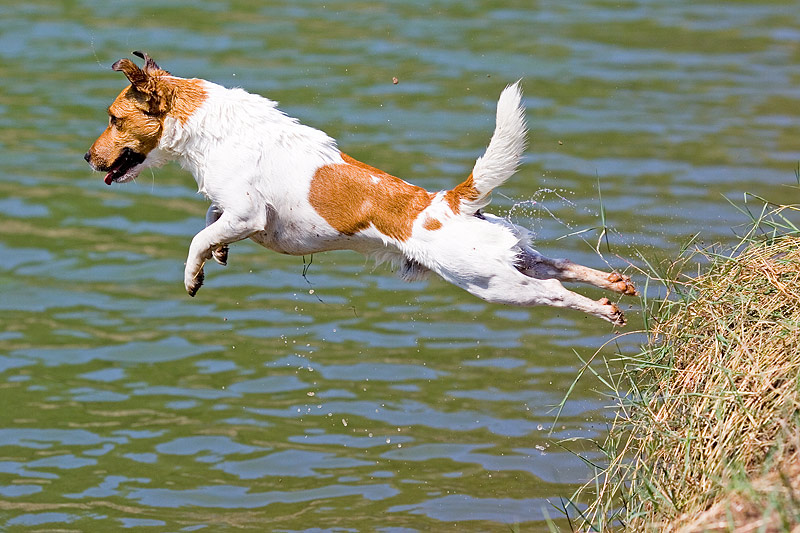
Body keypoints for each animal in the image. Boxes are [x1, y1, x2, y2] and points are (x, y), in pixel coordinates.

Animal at [86, 52, 636, 324]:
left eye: (113, 118)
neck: (207, 127)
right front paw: (220, 255)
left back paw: (603, 308)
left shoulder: (248, 213)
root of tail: (448, 202)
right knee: (558, 264)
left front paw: (194, 273)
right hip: (510, 258)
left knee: (554, 292)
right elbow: (210, 221)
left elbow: (199, 236)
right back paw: (614, 284)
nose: (88, 158)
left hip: (490, 282)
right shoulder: (235, 214)